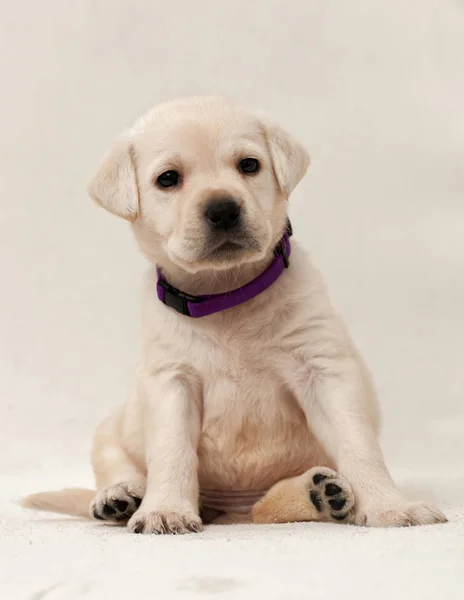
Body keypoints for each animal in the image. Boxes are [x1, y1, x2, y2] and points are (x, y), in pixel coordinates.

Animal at [21, 97, 446, 536]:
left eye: (249, 165)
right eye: (168, 178)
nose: (223, 209)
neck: (225, 295)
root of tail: (231, 514)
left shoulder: (321, 370)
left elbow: (358, 444)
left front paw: (391, 507)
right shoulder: (172, 381)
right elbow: (171, 452)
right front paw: (165, 510)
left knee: (271, 506)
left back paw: (321, 492)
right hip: (110, 430)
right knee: (116, 465)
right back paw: (120, 498)